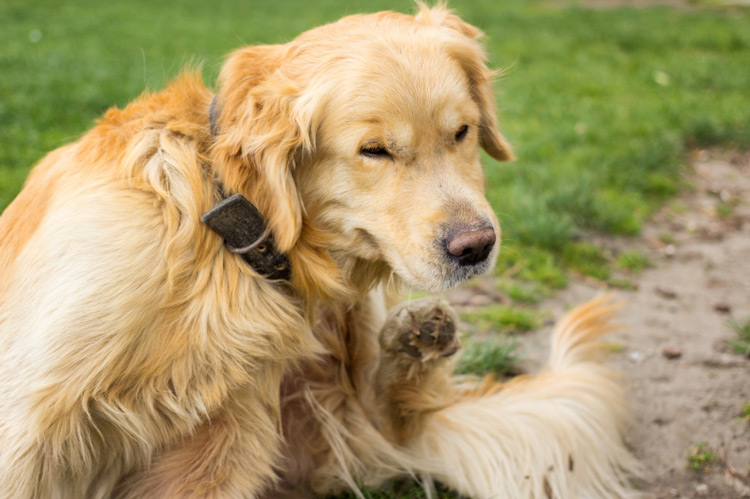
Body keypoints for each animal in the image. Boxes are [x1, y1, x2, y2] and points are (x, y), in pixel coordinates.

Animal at [0, 4, 640, 499]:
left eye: (461, 132)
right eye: (374, 150)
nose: (476, 247)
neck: (224, 223)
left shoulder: (224, 441)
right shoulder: (28, 416)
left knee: (394, 414)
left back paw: (416, 337)